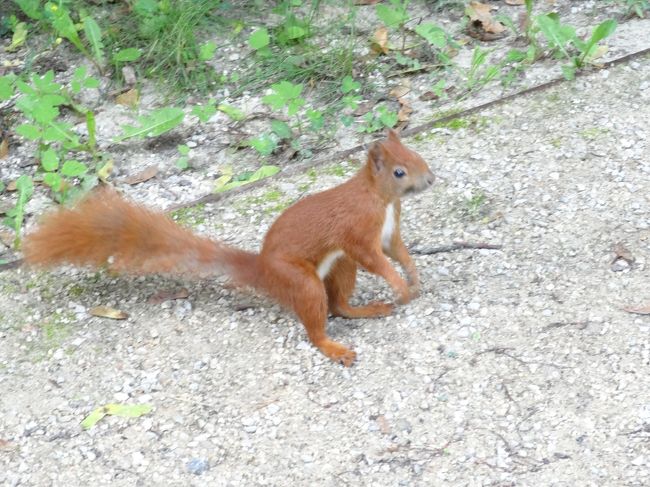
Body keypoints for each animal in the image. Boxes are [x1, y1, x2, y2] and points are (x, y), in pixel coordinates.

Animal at [25, 130, 432, 366]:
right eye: (399, 171)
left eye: (418, 154)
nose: (430, 178)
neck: (381, 200)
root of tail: (264, 272)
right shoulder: (358, 231)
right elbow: (375, 259)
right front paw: (399, 284)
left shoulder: (388, 232)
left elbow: (398, 251)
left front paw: (413, 277)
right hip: (301, 280)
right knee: (318, 320)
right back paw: (335, 348)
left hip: (339, 266)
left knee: (339, 306)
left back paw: (368, 310)